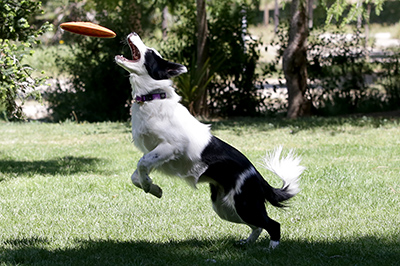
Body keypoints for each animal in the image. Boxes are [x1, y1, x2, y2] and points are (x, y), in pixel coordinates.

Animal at [115, 32, 306, 248]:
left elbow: (141, 163)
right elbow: (136, 175)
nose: (133, 33)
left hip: (244, 204)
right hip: (225, 207)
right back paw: (246, 243)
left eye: (149, 52)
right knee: (257, 226)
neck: (152, 97)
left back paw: (272, 248)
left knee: (273, 224)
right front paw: (154, 188)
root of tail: (257, 177)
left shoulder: (170, 147)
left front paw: (149, 186)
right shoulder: (157, 154)